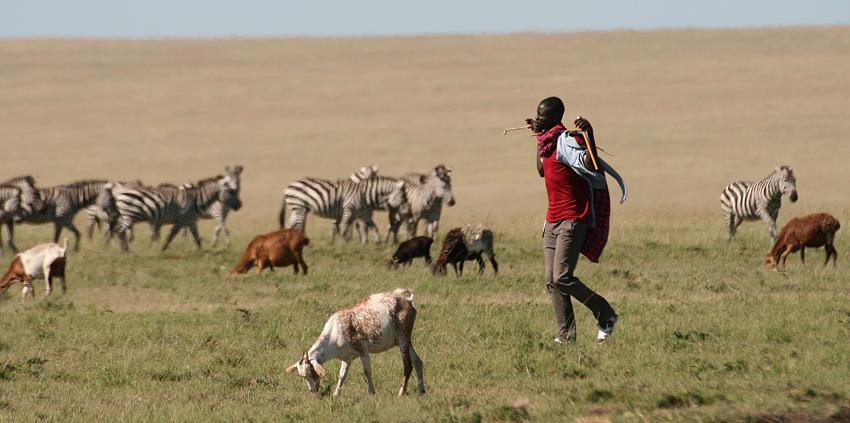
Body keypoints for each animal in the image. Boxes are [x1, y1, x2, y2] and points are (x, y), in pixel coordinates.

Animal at [110, 166, 242, 253]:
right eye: (230, 192)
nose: (239, 205)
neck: (196, 200)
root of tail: (119, 192)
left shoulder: (191, 221)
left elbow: (196, 236)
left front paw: (201, 250)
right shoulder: (181, 220)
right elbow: (171, 236)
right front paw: (163, 249)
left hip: (126, 215)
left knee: (118, 230)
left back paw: (124, 249)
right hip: (130, 215)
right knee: (120, 230)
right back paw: (125, 250)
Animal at [286, 288, 424, 398]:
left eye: (311, 371)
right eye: (302, 375)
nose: (312, 390)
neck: (335, 331)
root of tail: (408, 301)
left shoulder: (363, 350)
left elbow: (367, 371)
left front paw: (371, 392)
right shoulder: (347, 358)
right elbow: (342, 375)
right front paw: (336, 394)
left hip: (402, 340)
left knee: (408, 366)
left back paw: (401, 393)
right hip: (406, 341)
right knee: (418, 362)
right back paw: (422, 391)